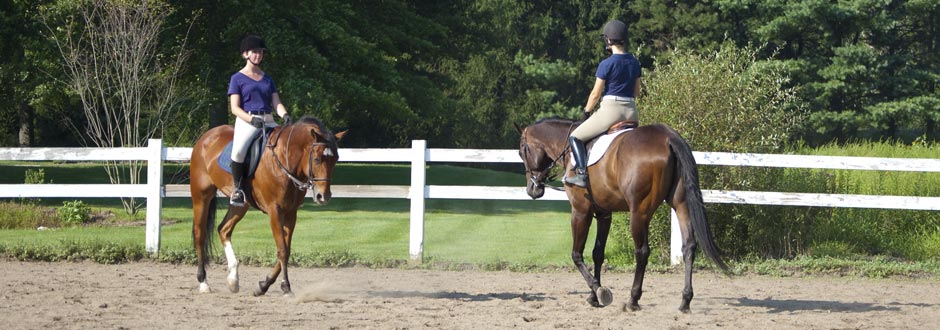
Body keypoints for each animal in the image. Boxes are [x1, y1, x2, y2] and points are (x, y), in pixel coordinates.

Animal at [189, 116, 346, 296]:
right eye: (317, 159)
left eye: (336, 159)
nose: (323, 196)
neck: (285, 161)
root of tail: (206, 136)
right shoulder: (275, 210)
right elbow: (282, 250)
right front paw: (285, 286)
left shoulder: (291, 212)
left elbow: (286, 249)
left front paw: (263, 285)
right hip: (201, 196)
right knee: (200, 235)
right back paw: (203, 282)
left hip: (240, 205)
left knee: (224, 229)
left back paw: (233, 279)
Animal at [516, 118, 732, 312]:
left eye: (521, 151)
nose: (532, 189)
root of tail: (667, 136)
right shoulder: (604, 213)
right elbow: (598, 253)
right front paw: (594, 296)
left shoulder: (580, 210)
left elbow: (576, 254)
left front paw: (599, 291)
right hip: (681, 204)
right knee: (689, 247)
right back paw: (685, 301)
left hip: (639, 212)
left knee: (642, 252)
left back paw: (633, 300)